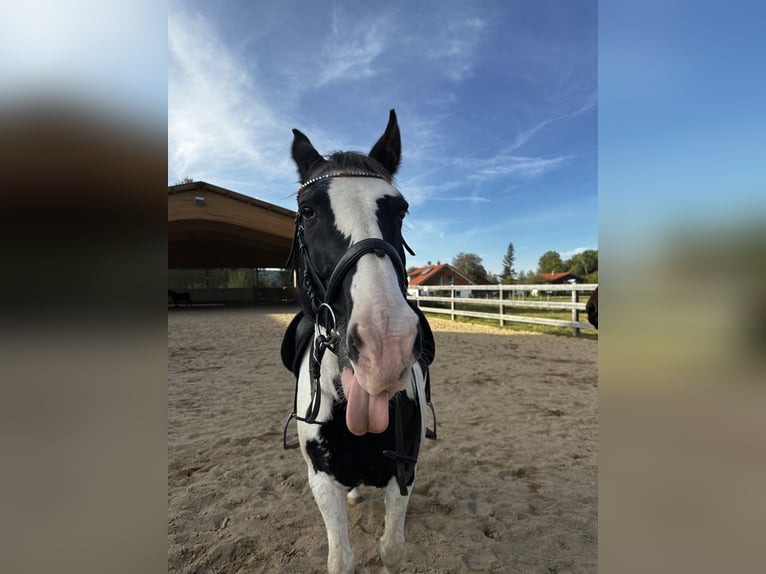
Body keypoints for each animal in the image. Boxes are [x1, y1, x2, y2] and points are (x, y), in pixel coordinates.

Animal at [282, 109, 438, 574]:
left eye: (400, 210)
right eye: (307, 211)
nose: (385, 345)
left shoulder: (404, 472)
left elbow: (392, 550)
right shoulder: (321, 482)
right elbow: (341, 560)